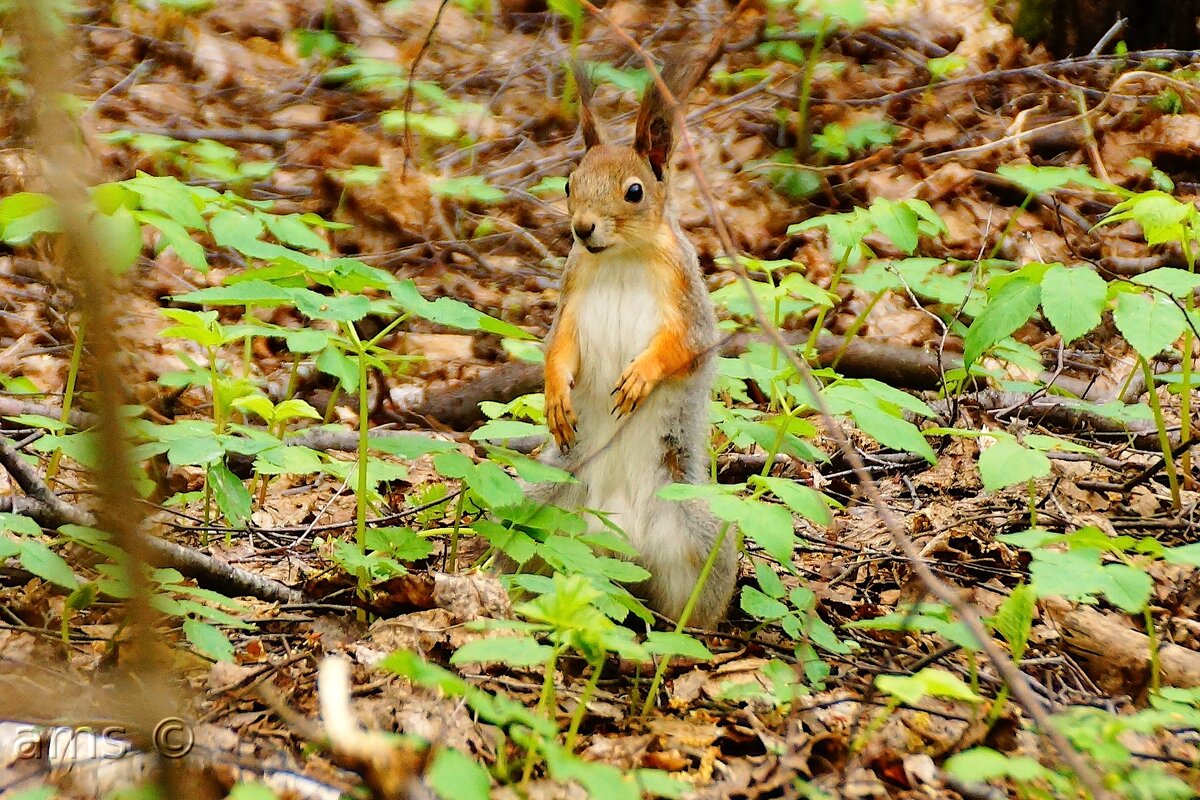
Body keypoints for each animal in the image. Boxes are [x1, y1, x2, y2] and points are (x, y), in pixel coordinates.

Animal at [530, 61, 734, 623]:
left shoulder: (687, 299)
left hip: (696, 531)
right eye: (568, 182)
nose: (582, 228)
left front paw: (640, 377)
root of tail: (620, 540)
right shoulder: (571, 297)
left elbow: (684, 348)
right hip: (544, 501)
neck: (620, 257)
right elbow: (558, 349)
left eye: (635, 191)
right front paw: (556, 396)